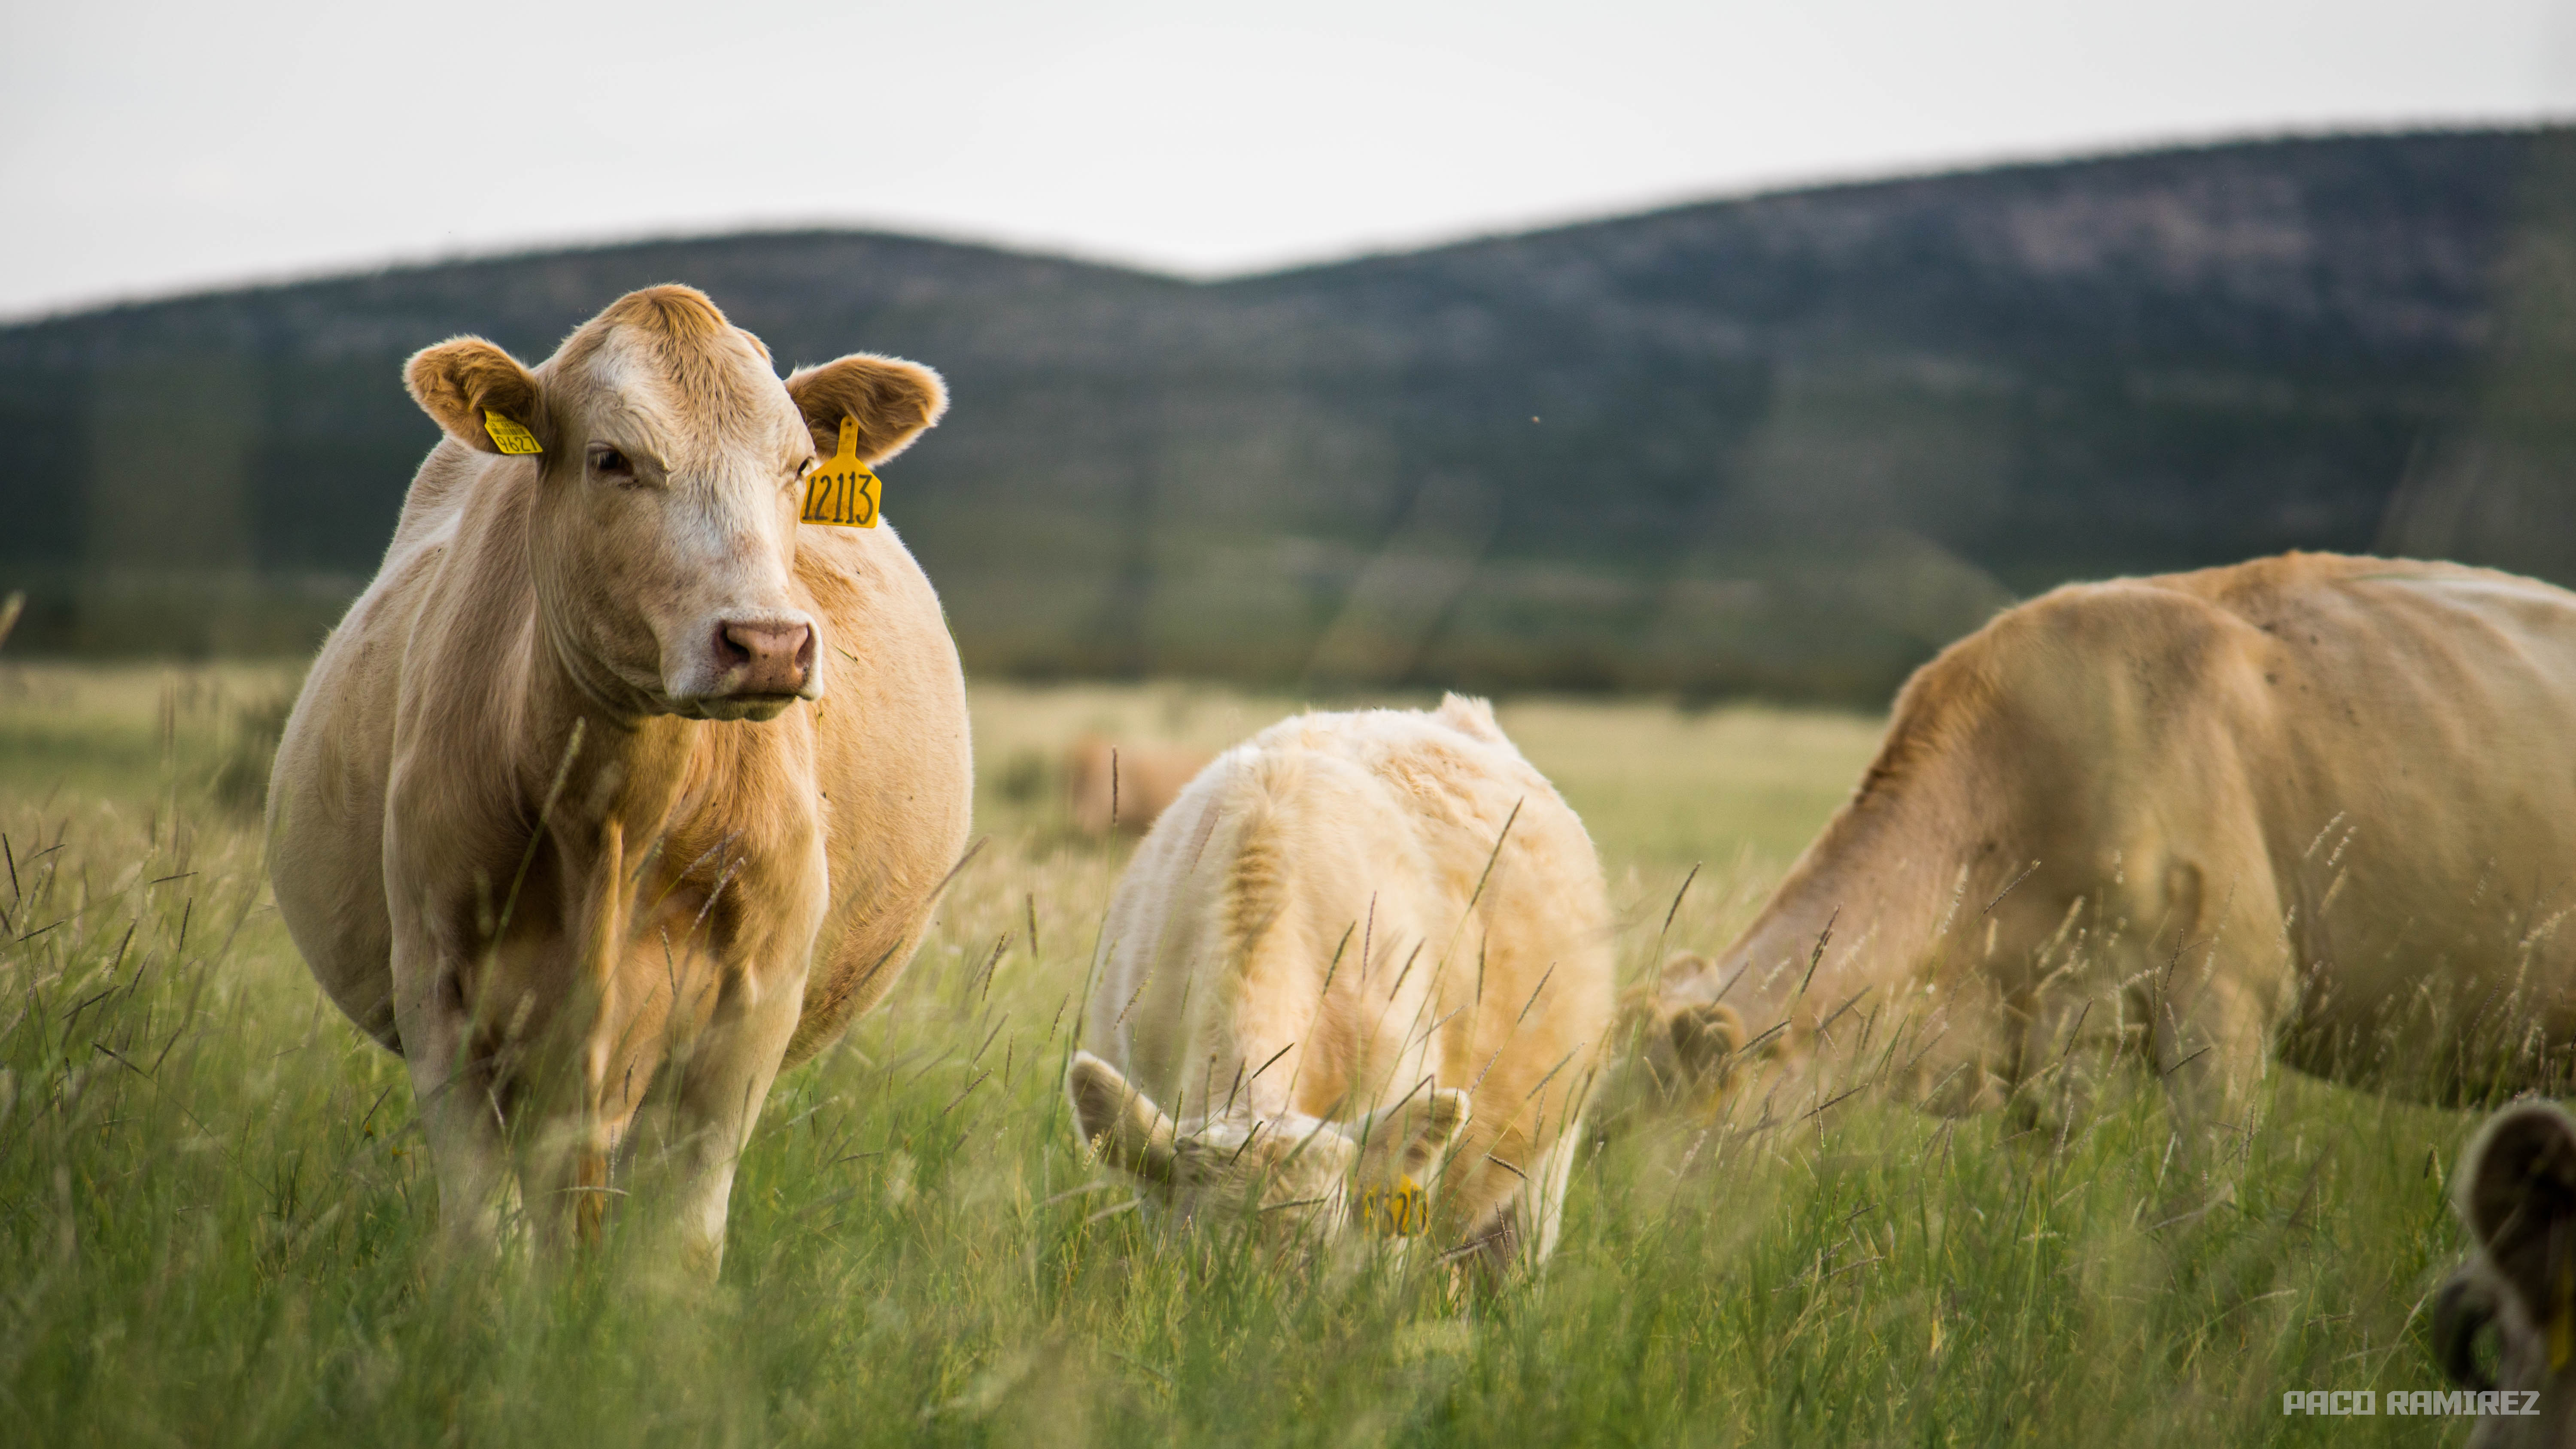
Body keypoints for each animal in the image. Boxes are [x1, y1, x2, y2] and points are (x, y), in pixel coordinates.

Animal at [265, 285, 972, 1270]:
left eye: (799, 465)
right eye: (612, 459)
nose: (769, 644)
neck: (610, 816)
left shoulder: (750, 1009)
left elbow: (671, 1252)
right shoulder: (439, 991)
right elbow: (489, 1241)